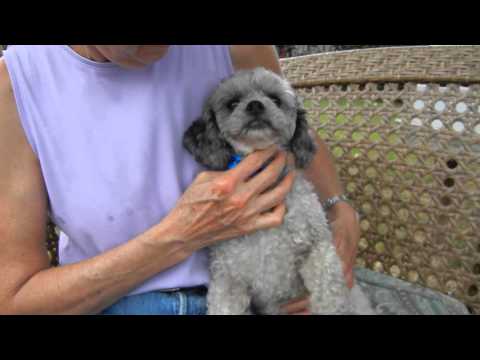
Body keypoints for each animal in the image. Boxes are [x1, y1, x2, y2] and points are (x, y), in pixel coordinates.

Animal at [182, 67, 374, 316]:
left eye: (275, 99)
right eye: (232, 103)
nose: (255, 105)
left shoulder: (318, 251)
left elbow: (328, 296)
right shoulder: (228, 279)